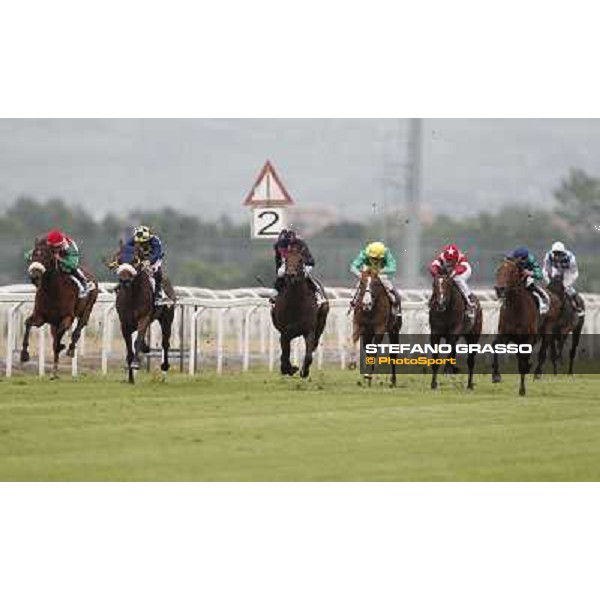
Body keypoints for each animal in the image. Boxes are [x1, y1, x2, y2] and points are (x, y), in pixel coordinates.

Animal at [19, 237, 98, 378]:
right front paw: (24, 354)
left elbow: (59, 339)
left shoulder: (67, 318)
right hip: (53, 323)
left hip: (87, 309)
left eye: (45, 255)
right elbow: (27, 323)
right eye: (32, 255)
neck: (52, 290)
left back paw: (70, 349)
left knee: (79, 328)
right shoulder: (40, 317)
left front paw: (61, 346)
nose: (34, 276)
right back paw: (54, 371)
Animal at [108, 240, 175, 384]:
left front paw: (135, 364)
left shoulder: (143, 317)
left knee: (165, 343)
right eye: (119, 260)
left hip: (166, 319)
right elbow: (129, 349)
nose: (124, 280)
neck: (132, 295)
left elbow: (137, 340)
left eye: (135, 260)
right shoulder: (124, 323)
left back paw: (164, 368)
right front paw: (130, 378)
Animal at [270, 243, 328, 376]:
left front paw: (304, 371)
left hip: (321, 322)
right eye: (286, 260)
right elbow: (285, 353)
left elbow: (308, 355)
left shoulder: (309, 330)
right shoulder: (285, 331)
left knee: (315, 342)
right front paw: (289, 368)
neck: (296, 302)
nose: (291, 274)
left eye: (301, 260)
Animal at [490, 258, 560, 396]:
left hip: (548, 329)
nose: (499, 289)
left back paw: (537, 373)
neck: (516, 309)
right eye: (498, 270)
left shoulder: (528, 339)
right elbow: (495, 346)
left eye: (512, 271)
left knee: (542, 352)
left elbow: (523, 363)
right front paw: (496, 375)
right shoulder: (505, 334)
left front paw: (522, 390)